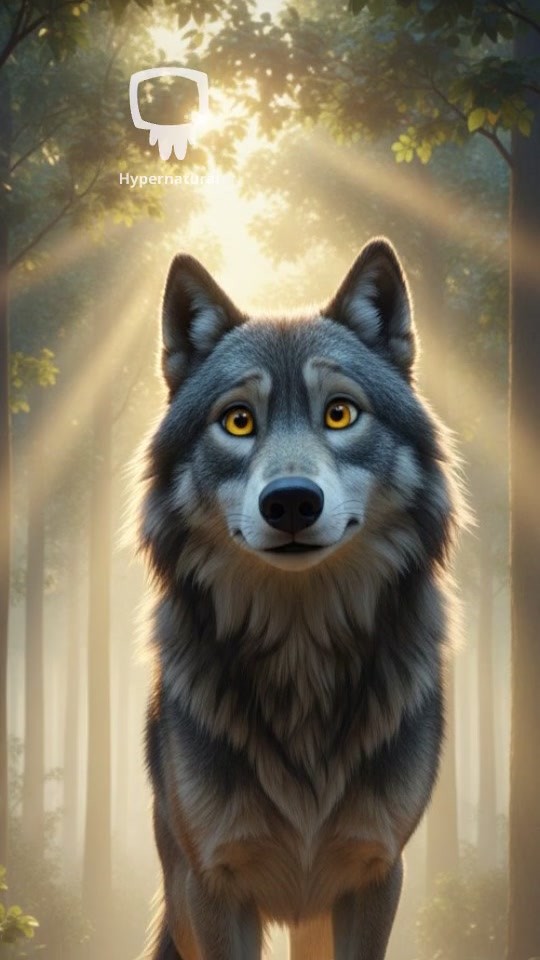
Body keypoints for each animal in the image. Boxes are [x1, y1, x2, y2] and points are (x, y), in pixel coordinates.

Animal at [137, 238, 462, 960]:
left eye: (340, 412)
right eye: (238, 421)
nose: (289, 502)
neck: (301, 656)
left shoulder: (374, 873)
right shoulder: (212, 884)